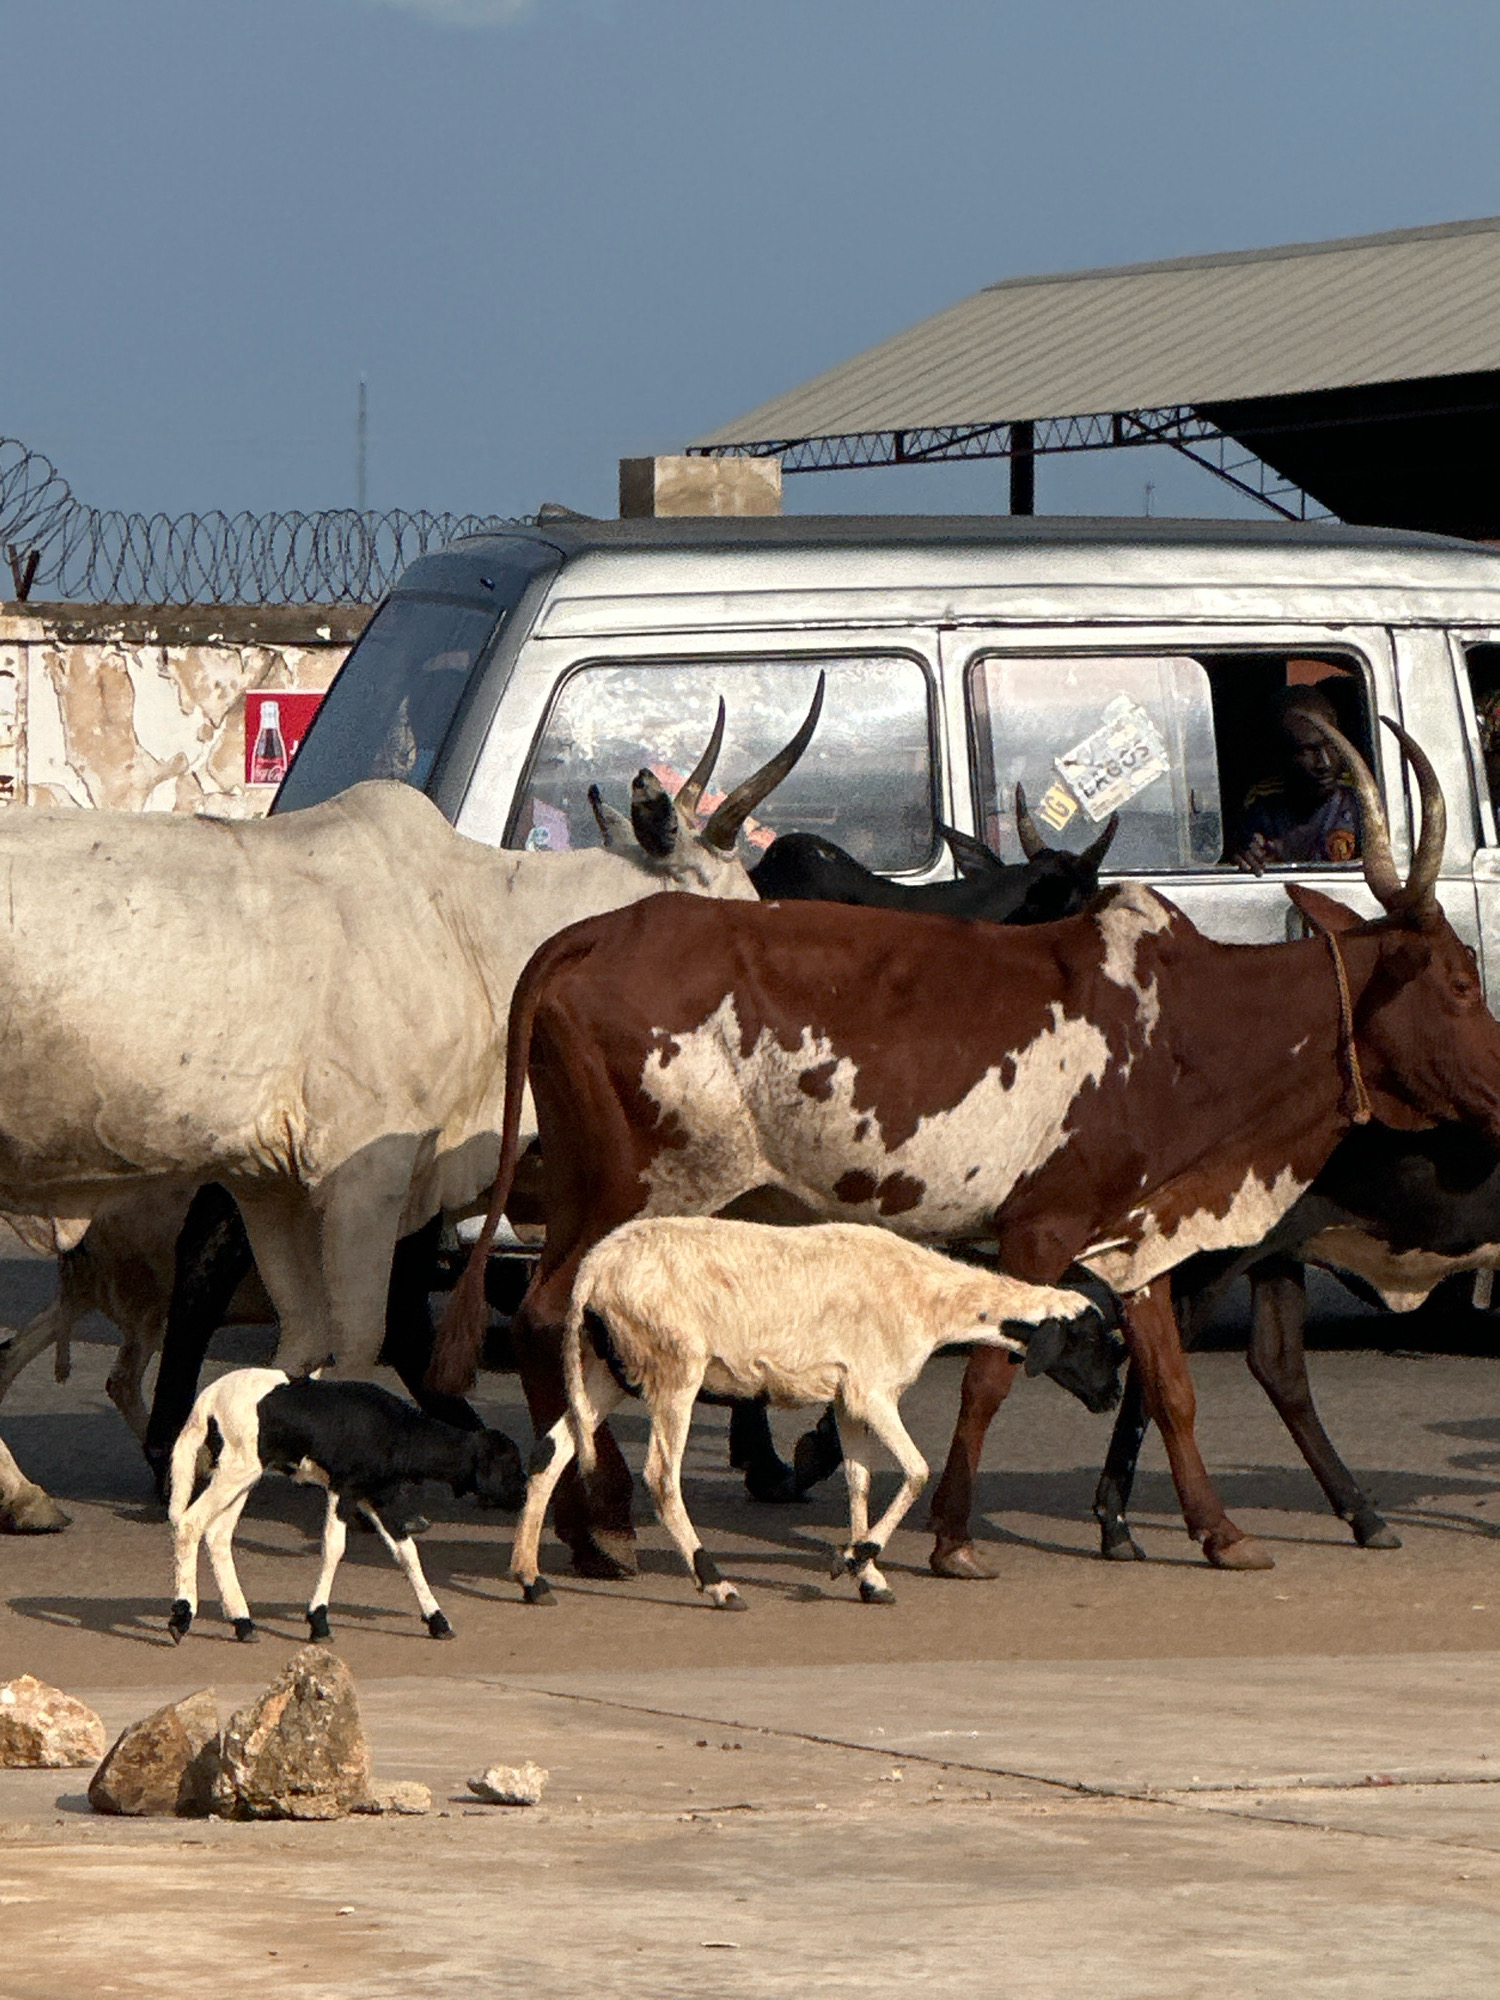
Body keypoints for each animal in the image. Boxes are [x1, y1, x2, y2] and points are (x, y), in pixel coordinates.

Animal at [168, 1368, 525, 1644]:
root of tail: (207, 1401)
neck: (401, 1431)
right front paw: (319, 1622)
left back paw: (242, 1622)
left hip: (243, 1474)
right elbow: (334, 1548)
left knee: (218, 1534)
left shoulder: (378, 1495)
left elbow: (407, 1553)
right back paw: (182, 1616)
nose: (524, 1494)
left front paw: (438, 1620)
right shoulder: (346, 1488)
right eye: (509, 1465)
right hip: (236, 1468)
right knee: (190, 1523)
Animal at [510, 1218, 1103, 1609]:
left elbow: (859, 1481)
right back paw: (717, 1584)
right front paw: (853, 1560)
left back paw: (531, 1579)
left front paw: (868, 1575)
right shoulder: (873, 1390)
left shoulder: (847, 1398)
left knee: (551, 1451)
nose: (1110, 1397)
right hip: (674, 1365)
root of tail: (594, 1271)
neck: (932, 1299)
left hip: (610, 1367)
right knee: (660, 1476)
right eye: (1093, 1338)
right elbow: (915, 1471)